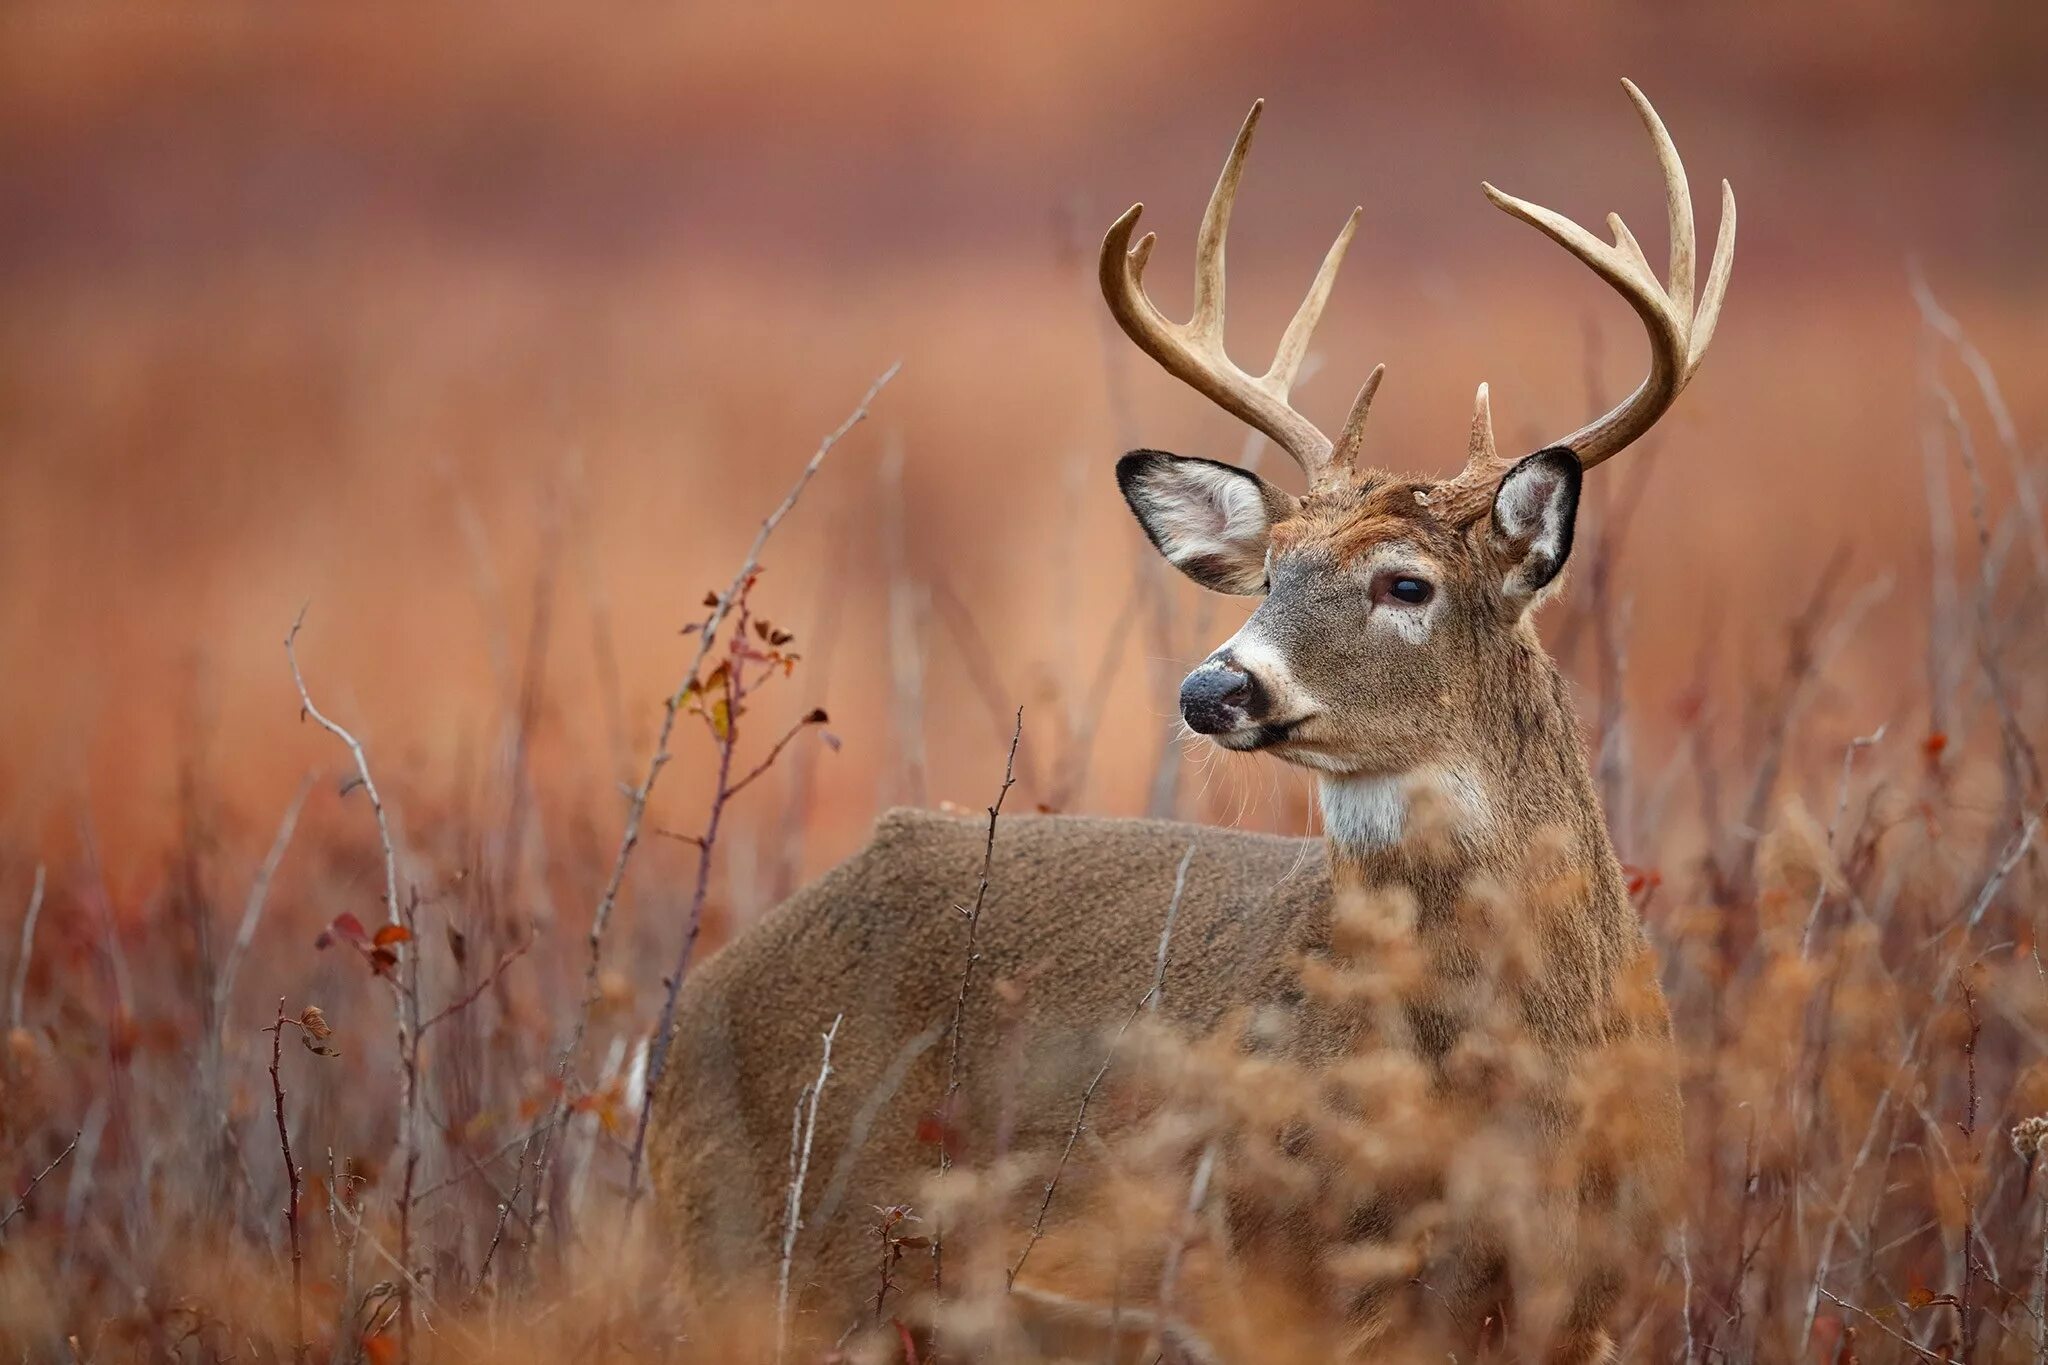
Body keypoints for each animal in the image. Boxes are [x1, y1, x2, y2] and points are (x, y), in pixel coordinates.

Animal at [647, 80, 1736, 1358]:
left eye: (1405, 583)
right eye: (1267, 571)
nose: (1213, 690)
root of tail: (689, 1016)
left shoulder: (1600, 1291)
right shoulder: (1277, 1284)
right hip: (757, 1253)